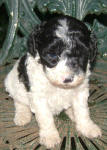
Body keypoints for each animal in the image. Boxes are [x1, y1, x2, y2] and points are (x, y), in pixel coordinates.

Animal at [4, 14, 102, 148]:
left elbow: (82, 111)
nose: (68, 79)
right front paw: (50, 136)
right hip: (13, 83)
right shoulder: (38, 96)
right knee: (19, 101)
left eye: (81, 54)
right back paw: (22, 115)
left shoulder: (80, 91)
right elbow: (45, 117)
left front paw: (87, 127)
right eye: (52, 55)